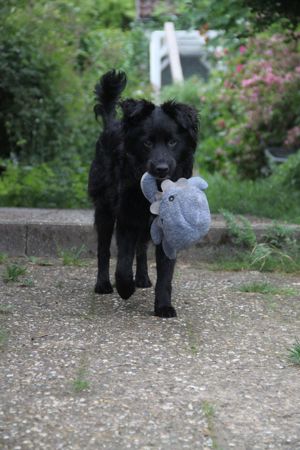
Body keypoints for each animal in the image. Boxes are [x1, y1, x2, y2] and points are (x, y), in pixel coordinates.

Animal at [88, 69, 198, 316]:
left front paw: (164, 306)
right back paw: (103, 284)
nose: (161, 169)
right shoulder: (127, 217)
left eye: (172, 142)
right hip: (104, 208)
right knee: (103, 249)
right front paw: (125, 288)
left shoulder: (166, 226)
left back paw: (143, 279)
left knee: (141, 247)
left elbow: (165, 272)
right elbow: (122, 264)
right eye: (147, 143)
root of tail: (112, 124)